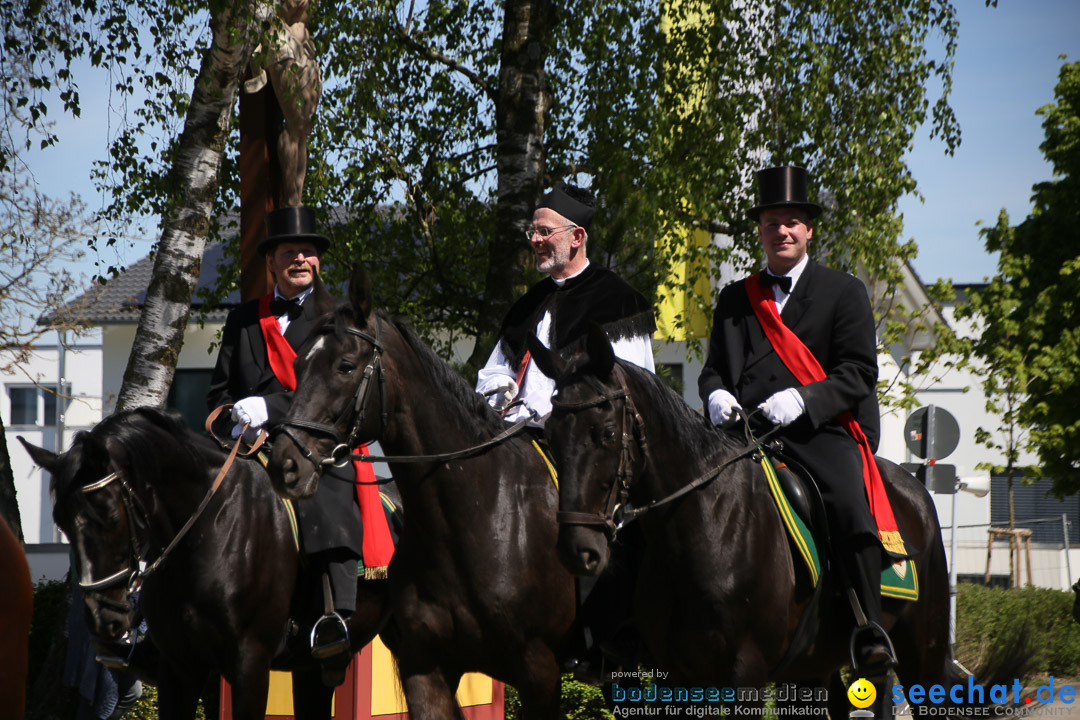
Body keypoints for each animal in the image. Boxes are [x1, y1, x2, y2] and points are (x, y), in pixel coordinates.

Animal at [21, 408, 390, 716]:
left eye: (110, 515)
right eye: (60, 521)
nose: (103, 619)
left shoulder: (251, 662)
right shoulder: (179, 666)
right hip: (311, 667)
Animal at [527, 325, 959, 716]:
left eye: (605, 432)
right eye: (550, 436)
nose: (576, 549)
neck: (703, 525)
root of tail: (913, 486)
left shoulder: (745, 673)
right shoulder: (677, 675)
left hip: (923, 652)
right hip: (814, 664)